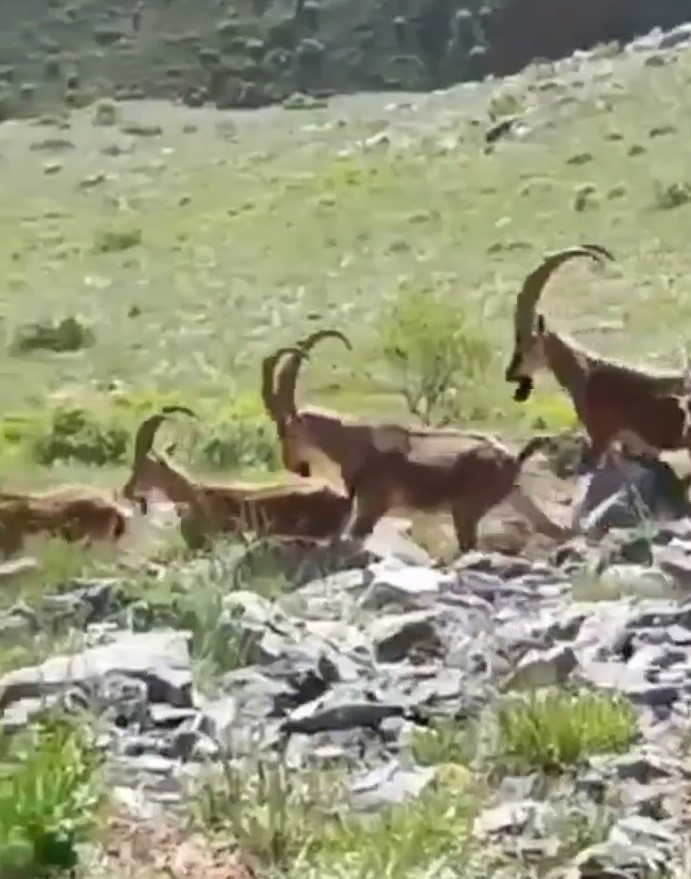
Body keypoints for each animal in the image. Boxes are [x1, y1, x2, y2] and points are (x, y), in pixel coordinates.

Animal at [264, 330, 568, 552]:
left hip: (466, 510)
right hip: (516, 497)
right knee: (554, 529)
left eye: (287, 432)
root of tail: (512, 459)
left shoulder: (371, 508)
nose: (294, 467)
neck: (354, 445)